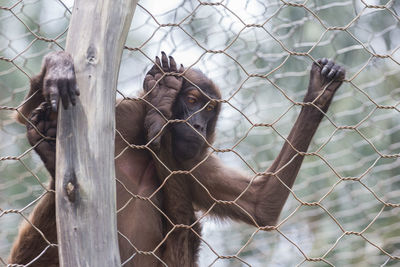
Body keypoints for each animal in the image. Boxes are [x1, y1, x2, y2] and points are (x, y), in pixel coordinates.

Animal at [7, 50, 344, 266]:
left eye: (210, 109)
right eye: (193, 101)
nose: (199, 126)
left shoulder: (192, 164)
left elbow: (262, 205)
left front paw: (319, 93)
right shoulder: (125, 116)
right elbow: (25, 115)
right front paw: (57, 67)